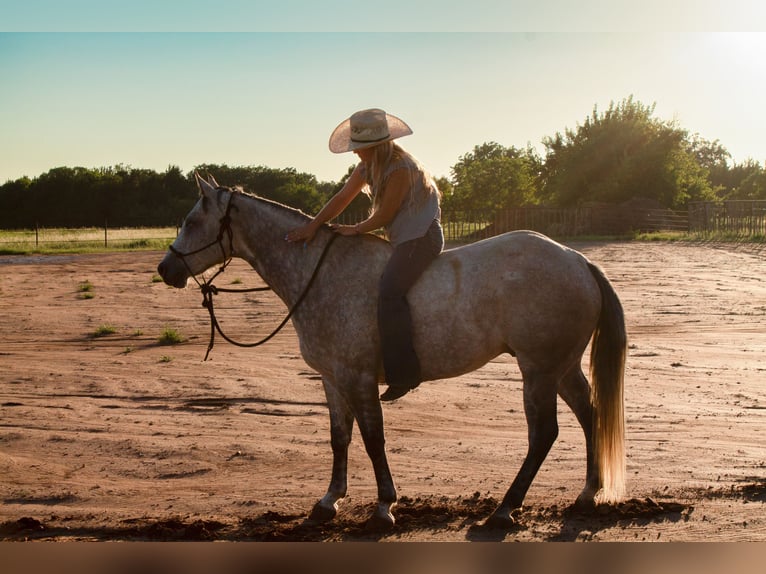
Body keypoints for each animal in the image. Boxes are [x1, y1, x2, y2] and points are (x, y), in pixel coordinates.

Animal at [157, 173, 627, 529]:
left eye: (192, 221)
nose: (166, 268)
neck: (321, 274)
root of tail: (578, 260)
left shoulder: (360, 378)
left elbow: (373, 439)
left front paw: (384, 506)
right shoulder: (332, 378)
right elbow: (340, 438)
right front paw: (329, 501)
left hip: (539, 371)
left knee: (543, 433)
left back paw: (505, 509)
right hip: (560, 368)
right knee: (590, 415)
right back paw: (588, 493)